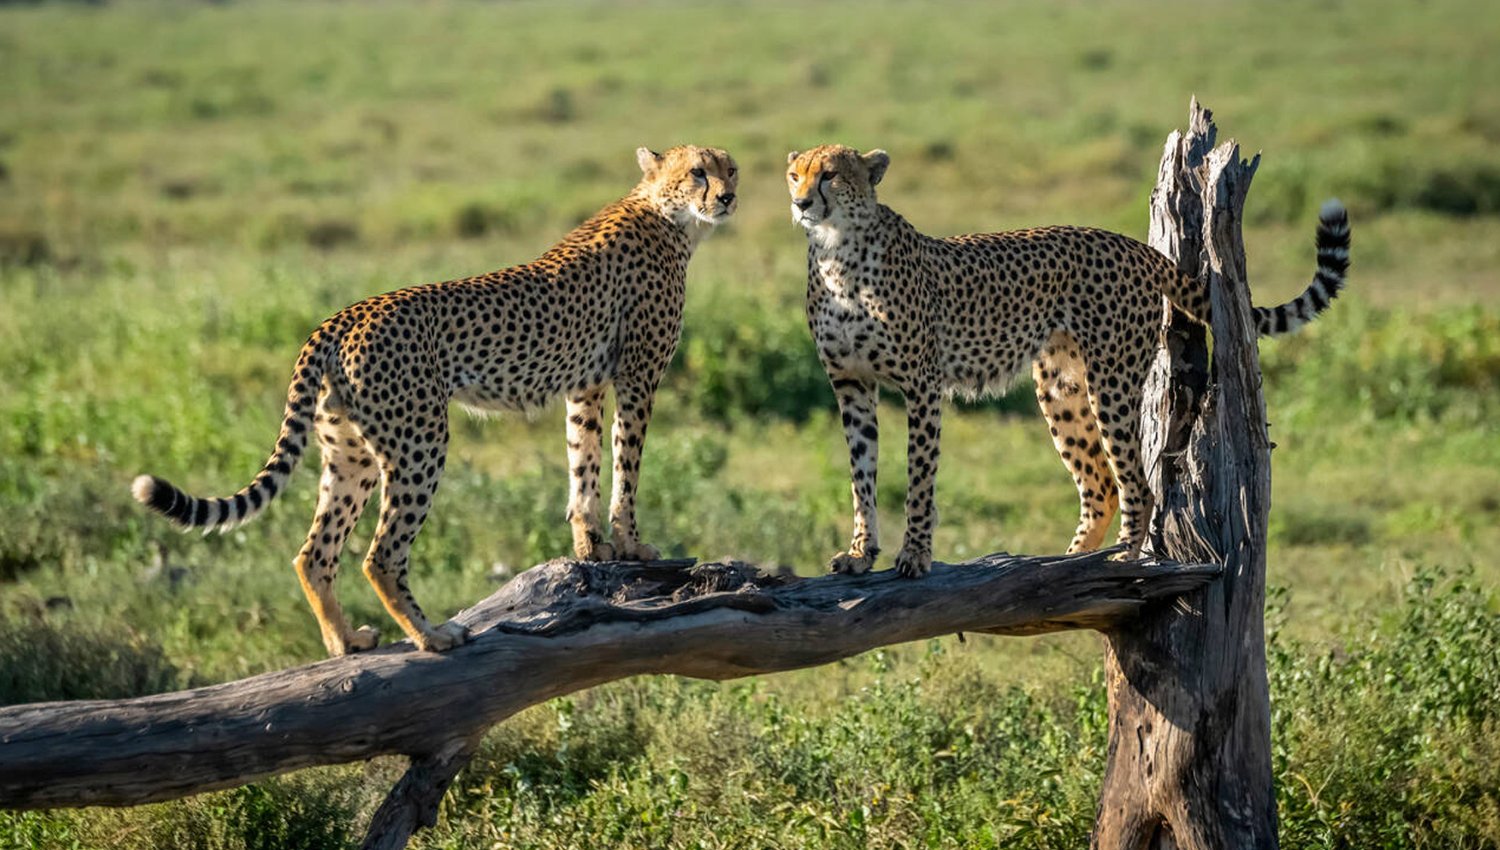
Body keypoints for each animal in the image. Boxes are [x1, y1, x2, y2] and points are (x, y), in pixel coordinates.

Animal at [132, 144, 739, 655]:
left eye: (729, 168)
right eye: (697, 173)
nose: (728, 196)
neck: (667, 214)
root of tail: (343, 316)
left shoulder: (584, 386)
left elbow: (583, 465)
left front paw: (591, 548)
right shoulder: (637, 377)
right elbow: (625, 467)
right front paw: (632, 545)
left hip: (349, 453)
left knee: (314, 553)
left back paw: (346, 641)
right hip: (419, 440)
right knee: (380, 555)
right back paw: (432, 635)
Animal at [786, 144, 1349, 578]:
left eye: (830, 174)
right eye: (795, 174)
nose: (800, 202)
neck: (839, 253)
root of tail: (1131, 245)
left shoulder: (923, 386)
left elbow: (918, 478)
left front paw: (916, 556)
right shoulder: (852, 385)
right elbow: (862, 476)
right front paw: (861, 554)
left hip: (1112, 382)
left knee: (1136, 483)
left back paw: (1121, 561)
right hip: (1060, 389)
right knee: (1100, 486)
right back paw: (1067, 562)